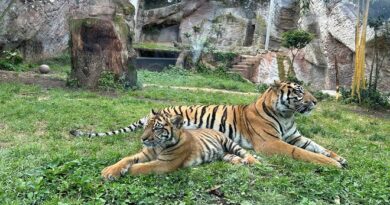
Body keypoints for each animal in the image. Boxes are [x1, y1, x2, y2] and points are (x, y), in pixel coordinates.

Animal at [71, 80, 348, 168]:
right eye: (300, 92)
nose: (315, 102)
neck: (287, 114)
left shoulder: (295, 136)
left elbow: (317, 146)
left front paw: (339, 157)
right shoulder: (271, 143)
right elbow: (302, 153)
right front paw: (333, 164)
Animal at [100, 110, 258, 179]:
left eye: (156, 128)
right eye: (145, 126)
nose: (142, 139)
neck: (158, 146)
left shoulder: (166, 163)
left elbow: (143, 167)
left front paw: (127, 171)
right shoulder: (145, 153)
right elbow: (126, 159)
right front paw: (110, 170)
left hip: (229, 143)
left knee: (245, 152)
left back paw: (253, 162)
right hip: (224, 154)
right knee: (233, 157)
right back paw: (240, 162)